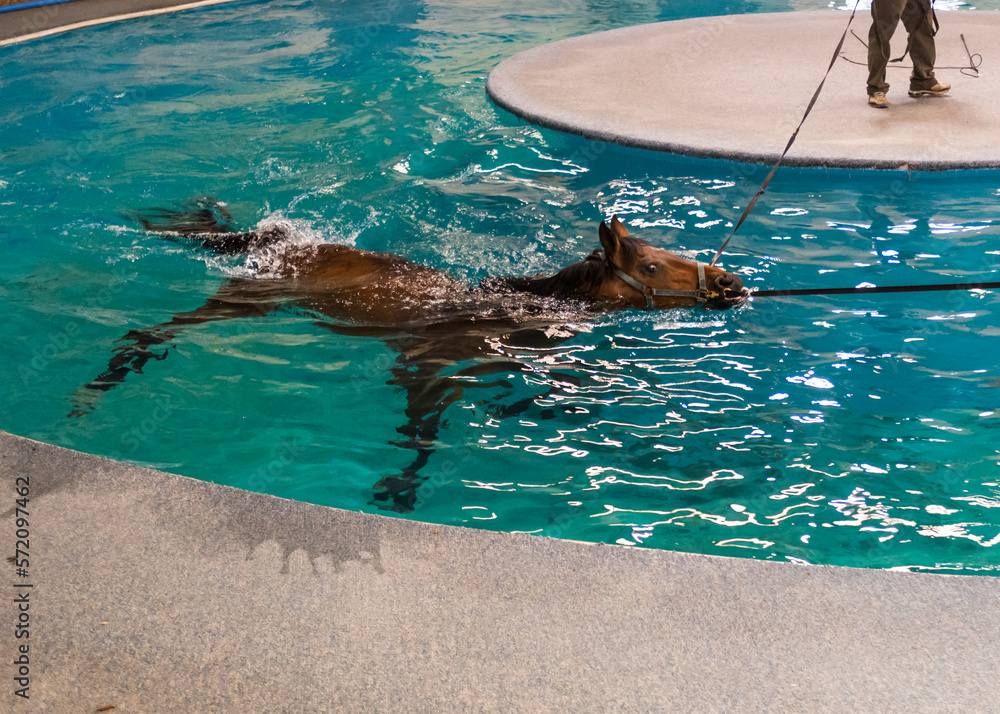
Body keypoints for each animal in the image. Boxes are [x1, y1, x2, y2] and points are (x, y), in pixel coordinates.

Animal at [74, 202, 748, 506]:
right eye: (653, 266)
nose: (731, 282)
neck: (514, 312)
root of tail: (274, 240)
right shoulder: (426, 365)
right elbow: (422, 433)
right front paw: (398, 487)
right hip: (247, 300)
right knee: (162, 329)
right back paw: (107, 379)